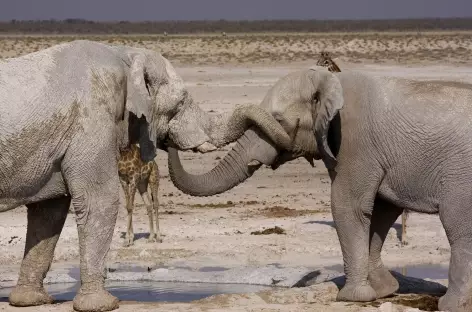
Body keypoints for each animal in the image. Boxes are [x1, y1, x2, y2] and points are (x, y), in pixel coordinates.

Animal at [0, 39, 296, 312]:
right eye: (180, 102)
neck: (124, 54)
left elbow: (48, 211)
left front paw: (30, 301)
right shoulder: (93, 121)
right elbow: (99, 201)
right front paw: (102, 305)